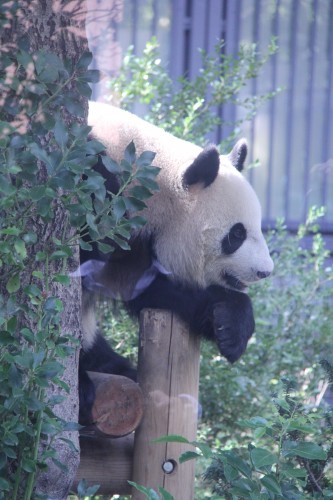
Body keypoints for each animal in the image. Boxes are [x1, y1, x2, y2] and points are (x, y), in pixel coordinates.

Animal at [78, 101, 272, 422]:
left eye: (258, 227)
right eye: (237, 234)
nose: (264, 271)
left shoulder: (133, 240)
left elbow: (145, 288)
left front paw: (231, 323)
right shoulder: (94, 186)